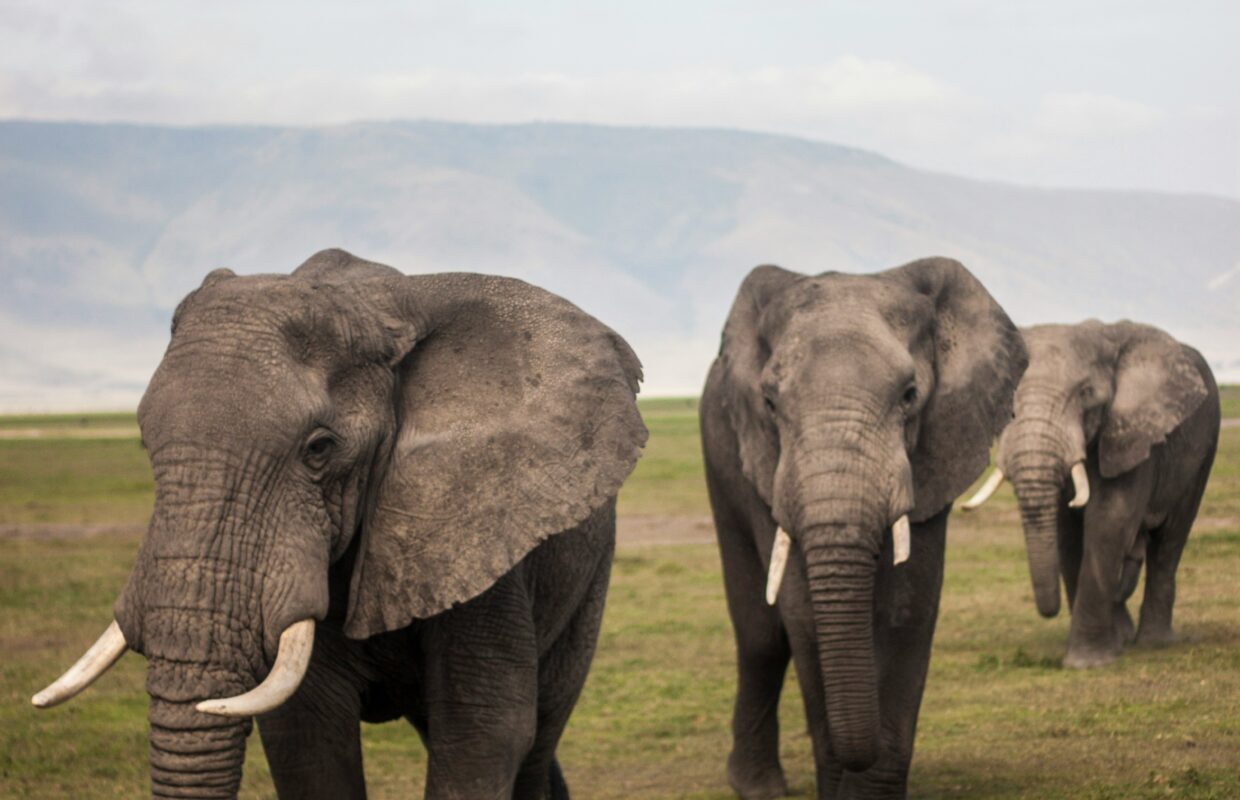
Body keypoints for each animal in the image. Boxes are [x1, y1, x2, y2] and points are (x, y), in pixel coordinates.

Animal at [31, 249, 647, 799]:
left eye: (319, 448)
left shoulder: (477, 524)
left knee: (539, 736)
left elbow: (484, 733)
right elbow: (307, 737)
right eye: (143, 441)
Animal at [700, 257, 1027, 799]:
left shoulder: (935, 450)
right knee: (760, 635)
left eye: (910, 396)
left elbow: (906, 609)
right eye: (769, 403)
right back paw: (759, 788)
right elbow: (803, 613)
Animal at [961, 320, 1219, 668]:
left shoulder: (1132, 435)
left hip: (1204, 450)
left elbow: (1110, 520)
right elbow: (1068, 535)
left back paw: (1154, 642)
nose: (1049, 610)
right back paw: (1124, 636)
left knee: (1170, 541)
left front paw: (1087, 663)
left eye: (1086, 394)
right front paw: (1107, 648)